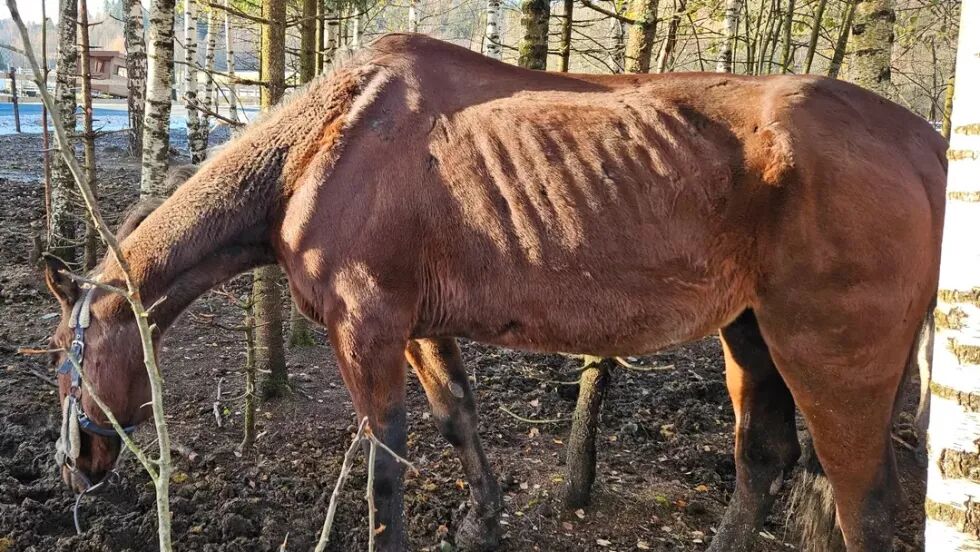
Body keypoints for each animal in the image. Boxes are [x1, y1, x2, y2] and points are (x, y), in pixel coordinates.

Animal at [42, 34, 944, 552]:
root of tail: (928, 146)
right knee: (764, 458)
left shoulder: (366, 330)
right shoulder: (416, 327)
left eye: (62, 357)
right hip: (750, 334)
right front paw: (483, 521)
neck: (322, 146)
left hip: (830, 356)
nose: (74, 464)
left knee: (863, 504)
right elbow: (457, 420)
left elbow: (386, 462)